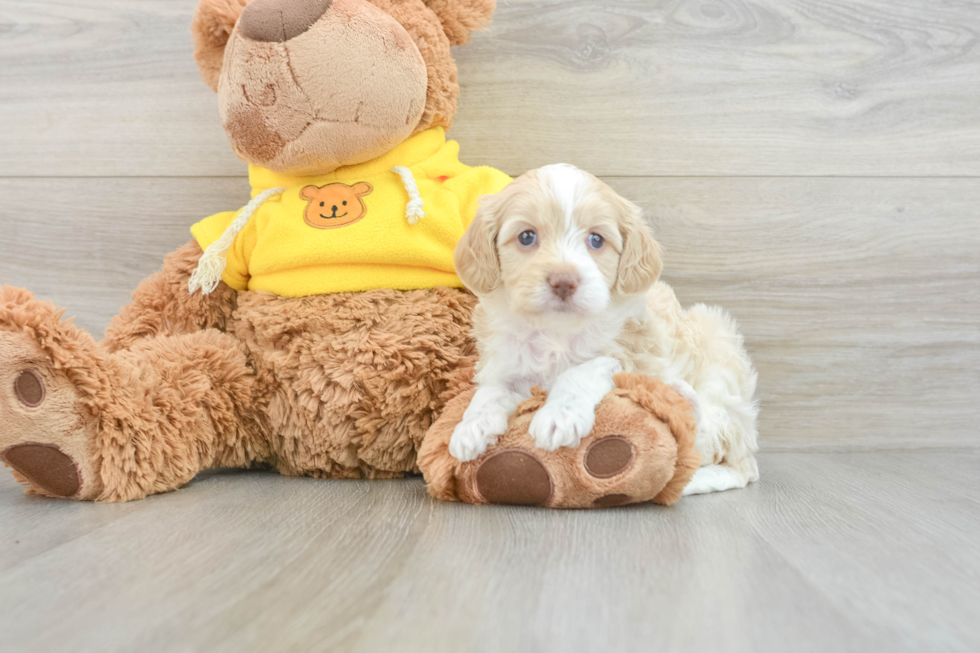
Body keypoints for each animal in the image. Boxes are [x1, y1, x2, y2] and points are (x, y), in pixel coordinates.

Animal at [448, 163, 760, 494]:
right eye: (527, 237)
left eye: (596, 240)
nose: (564, 280)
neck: (557, 332)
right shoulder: (508, 360)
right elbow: (492, 390)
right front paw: (471, 426)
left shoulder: (633, 356)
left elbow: (584, 369)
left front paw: (560, 415)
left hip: (718, 352)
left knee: (724, 457)